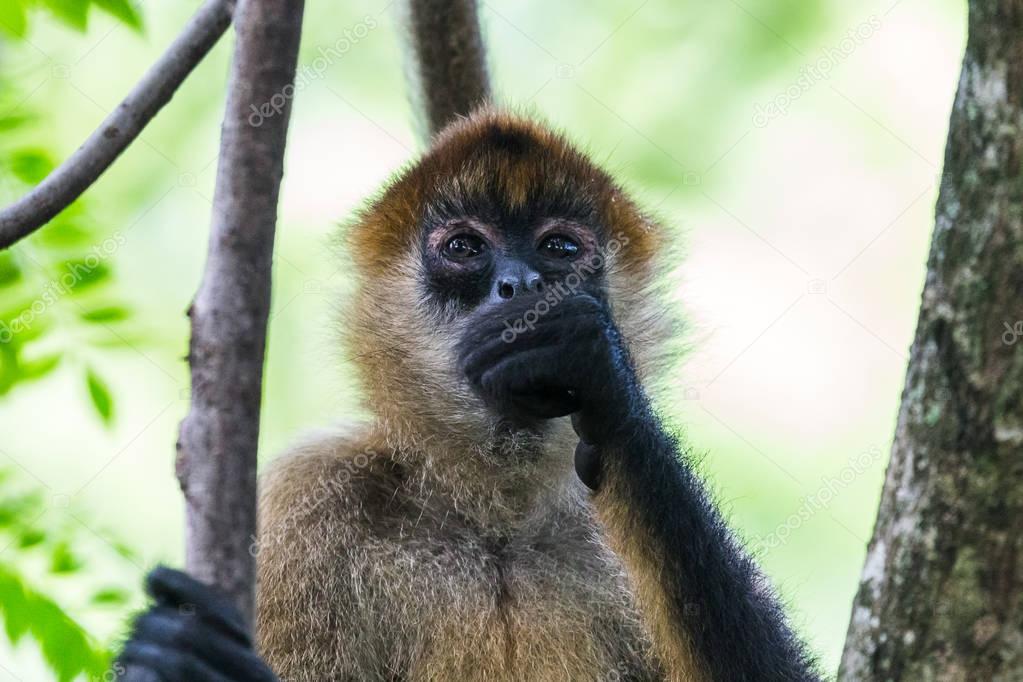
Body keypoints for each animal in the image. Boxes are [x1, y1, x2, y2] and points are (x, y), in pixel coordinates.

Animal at [116, 109, 818, 678]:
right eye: (464, 248)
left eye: (558, 247)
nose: (521, 285)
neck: (493, 524)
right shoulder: (304, 497)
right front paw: (182, 659)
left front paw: (604, 376)